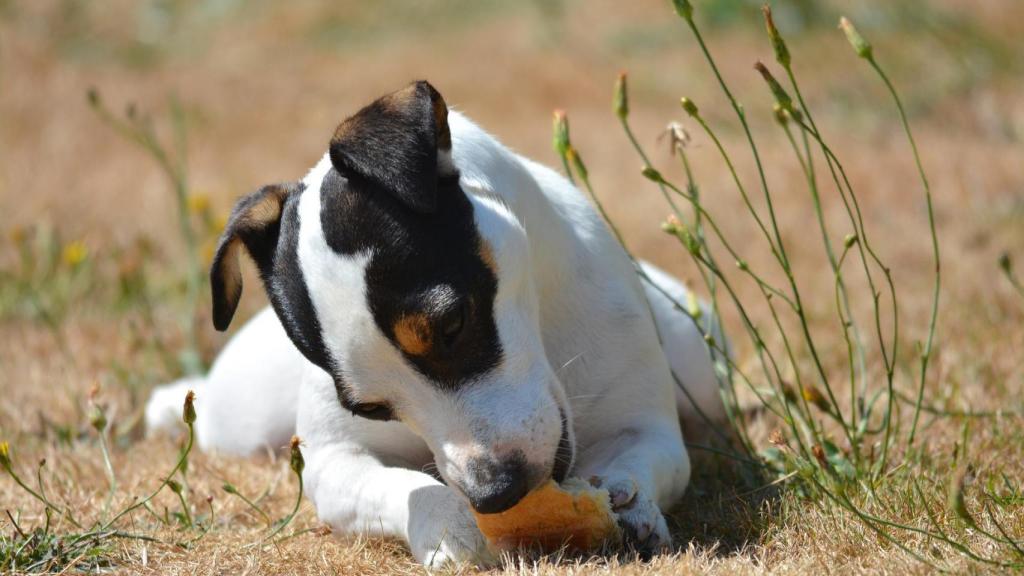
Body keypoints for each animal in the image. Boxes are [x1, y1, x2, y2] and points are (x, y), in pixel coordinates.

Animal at [146, 79, 729, 565]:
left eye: (452, 324)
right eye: (371, 409)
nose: (495, 493)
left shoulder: (649, 429)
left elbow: (643, 459)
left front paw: (629, 499)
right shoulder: (332, 461)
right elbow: (403, 488)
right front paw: (447, 525)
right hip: (242, 418)